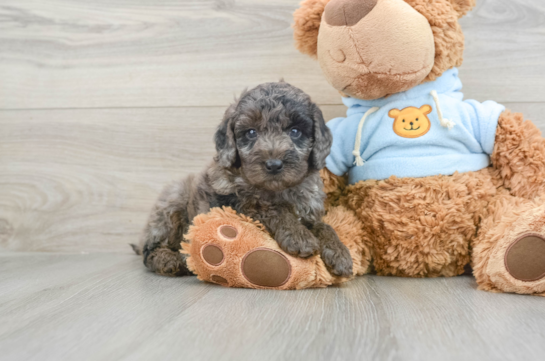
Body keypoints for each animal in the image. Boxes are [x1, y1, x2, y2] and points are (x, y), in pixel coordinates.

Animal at [134, 81, 350, 278]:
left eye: (295, 131)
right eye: (251, 132)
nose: (273, 164)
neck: (278, 189)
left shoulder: (309, 210)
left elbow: (324, 226)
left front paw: (340, 253)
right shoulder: (235, 204)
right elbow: (271, 208)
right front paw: (298, 236)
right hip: (172, 203)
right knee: (149, 250)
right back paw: (169, 260)